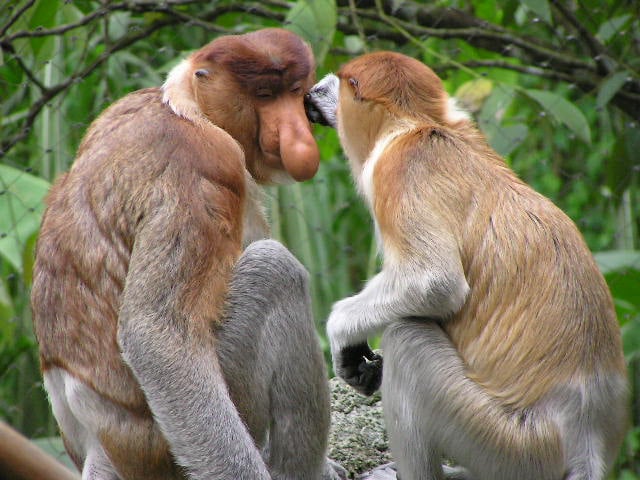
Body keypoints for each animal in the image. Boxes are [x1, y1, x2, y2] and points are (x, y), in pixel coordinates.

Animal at [31, 28, 346, 480]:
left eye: (293, 92)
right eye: (265, 95)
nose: (297, 132)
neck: (185, 106)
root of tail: (99, 444)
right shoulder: (202, 167)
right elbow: (157, 335)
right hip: (176, 442)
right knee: (275, 270)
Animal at [305, 51, 628, 480]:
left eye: (342, 83)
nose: (314, 92)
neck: (422, 126)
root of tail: (585, 434)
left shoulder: (399, 170)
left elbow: (433, 282)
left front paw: (344, 339)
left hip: (510, 444)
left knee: (407, 341)